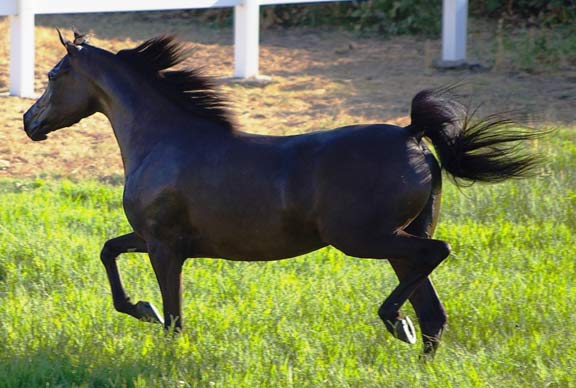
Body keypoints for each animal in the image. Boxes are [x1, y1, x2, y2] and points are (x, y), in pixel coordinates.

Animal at [22, 33, 540, 354]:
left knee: (439, 255)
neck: (162, 140)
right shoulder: (151, 238)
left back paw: (395, 321)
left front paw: (153, 323)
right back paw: (410, 335)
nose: (29, 122)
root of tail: (411, 136)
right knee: (433, 313)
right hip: (398, 241)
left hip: (367, 239)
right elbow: (109, 252)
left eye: (52, 75)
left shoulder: (164, 246)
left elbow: (173, 316)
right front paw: (140, 309)